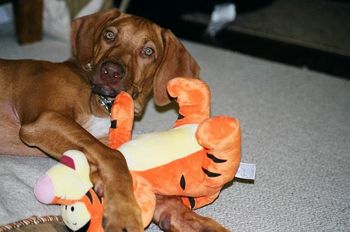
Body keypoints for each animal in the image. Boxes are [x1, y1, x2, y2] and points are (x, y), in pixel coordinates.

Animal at [0, 8, 227, 231]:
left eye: (148, 51)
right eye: (109, 35)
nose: (111, 72)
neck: (102, 104)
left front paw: (188, 218)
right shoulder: (46, 119)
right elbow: (115, 158)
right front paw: (124, 212)